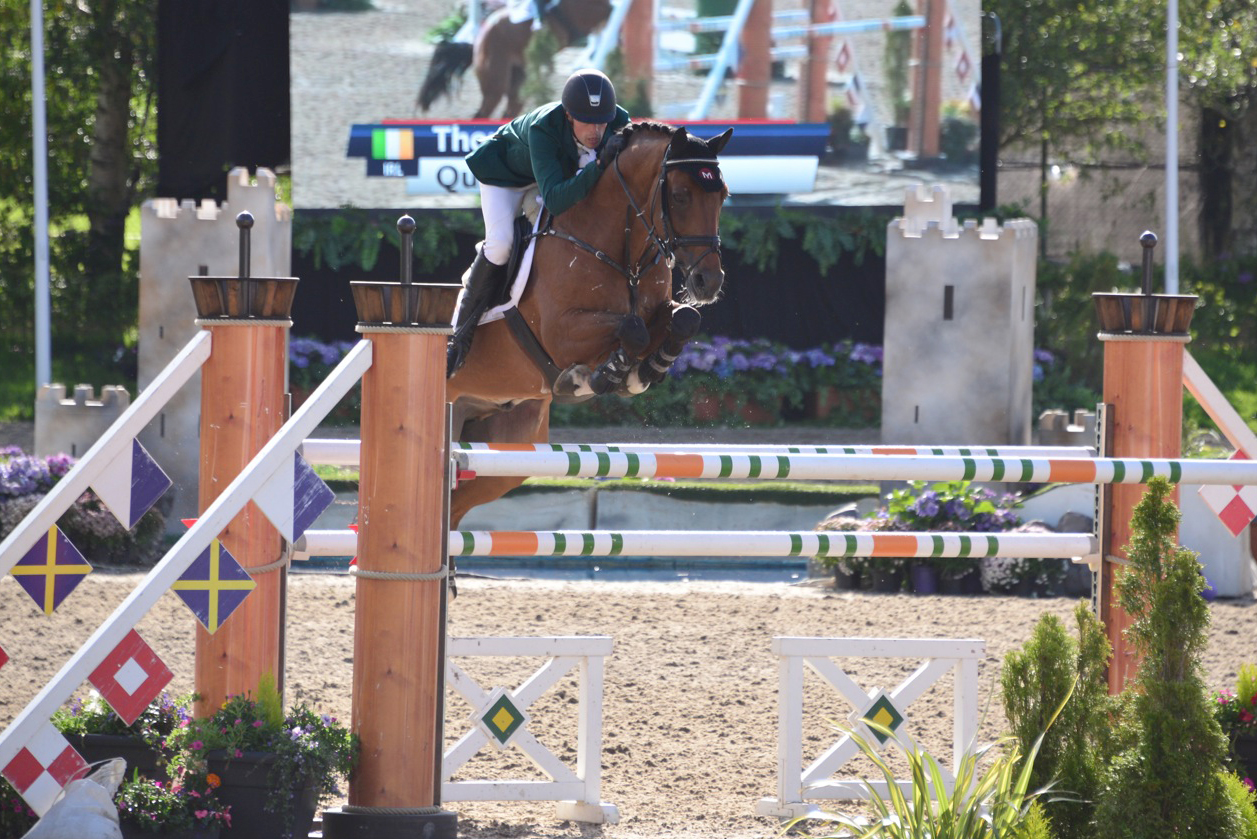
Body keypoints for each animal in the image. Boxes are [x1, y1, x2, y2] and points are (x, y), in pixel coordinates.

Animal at [417, 0, 613, 118]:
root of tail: (477, 44)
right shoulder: (588, 10)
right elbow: (611, 10)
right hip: (495, 86)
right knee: (482, 115)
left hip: (517, 83)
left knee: (508, 113)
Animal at [444, 119, 734, 525]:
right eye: (679, 196)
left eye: (722, 194)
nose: (709, 281)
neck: (620, 248)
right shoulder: (561, 334)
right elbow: (632, 329)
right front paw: (595, 377)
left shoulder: (659, 311)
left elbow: (683, 319)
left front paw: (644, 372)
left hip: (507, 447)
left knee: (454, 509)